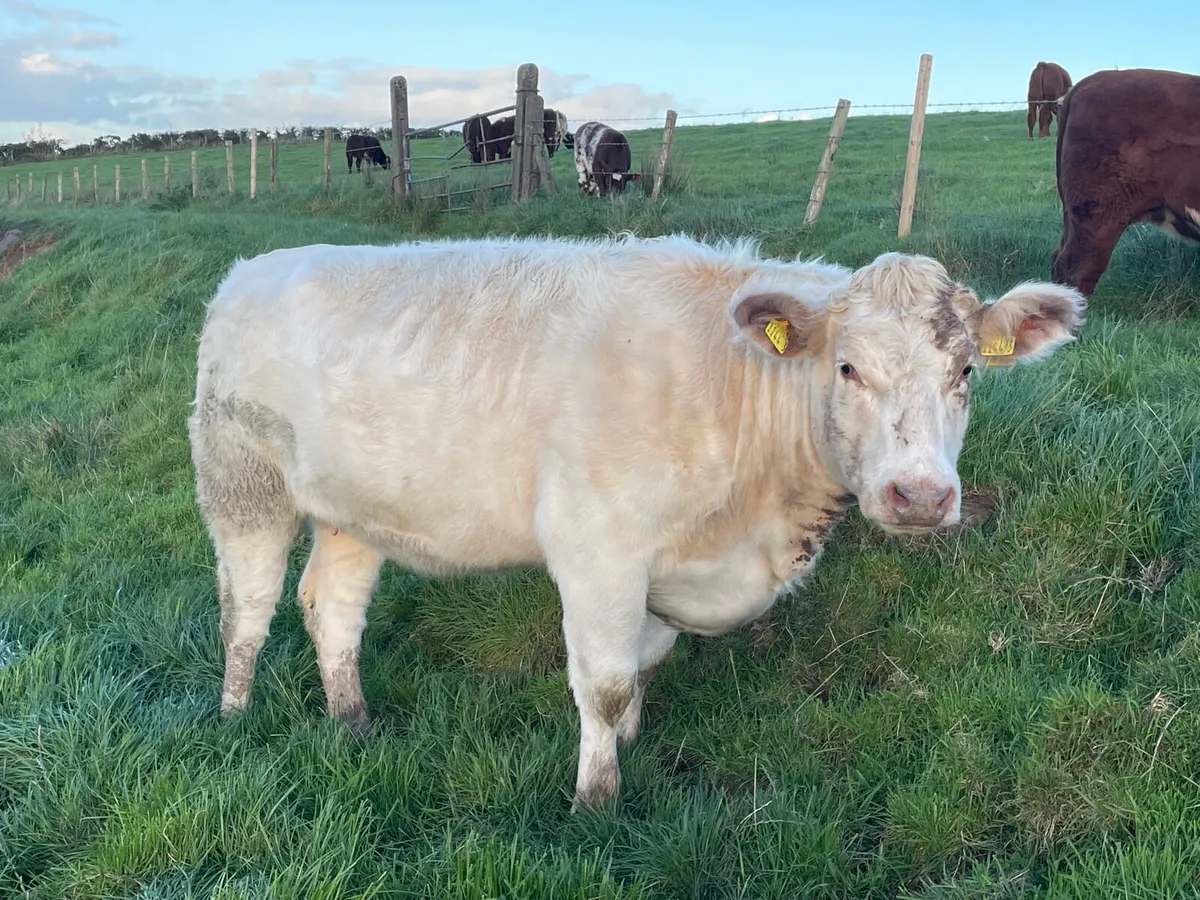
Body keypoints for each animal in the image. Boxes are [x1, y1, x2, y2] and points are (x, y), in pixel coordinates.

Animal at [189, 233, 1085, 813]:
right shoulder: (600, 550)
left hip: (354, 508)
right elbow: (607, 679)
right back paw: (233, 718)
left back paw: (353, 723)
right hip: (241, 483)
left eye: (966, 371)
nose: (921, 496)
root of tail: (250, 272)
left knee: (331, 607)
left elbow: (643, 668)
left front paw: (628, 746)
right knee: (248, 606)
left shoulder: (660, 571)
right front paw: (597, 800)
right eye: (847, 368)